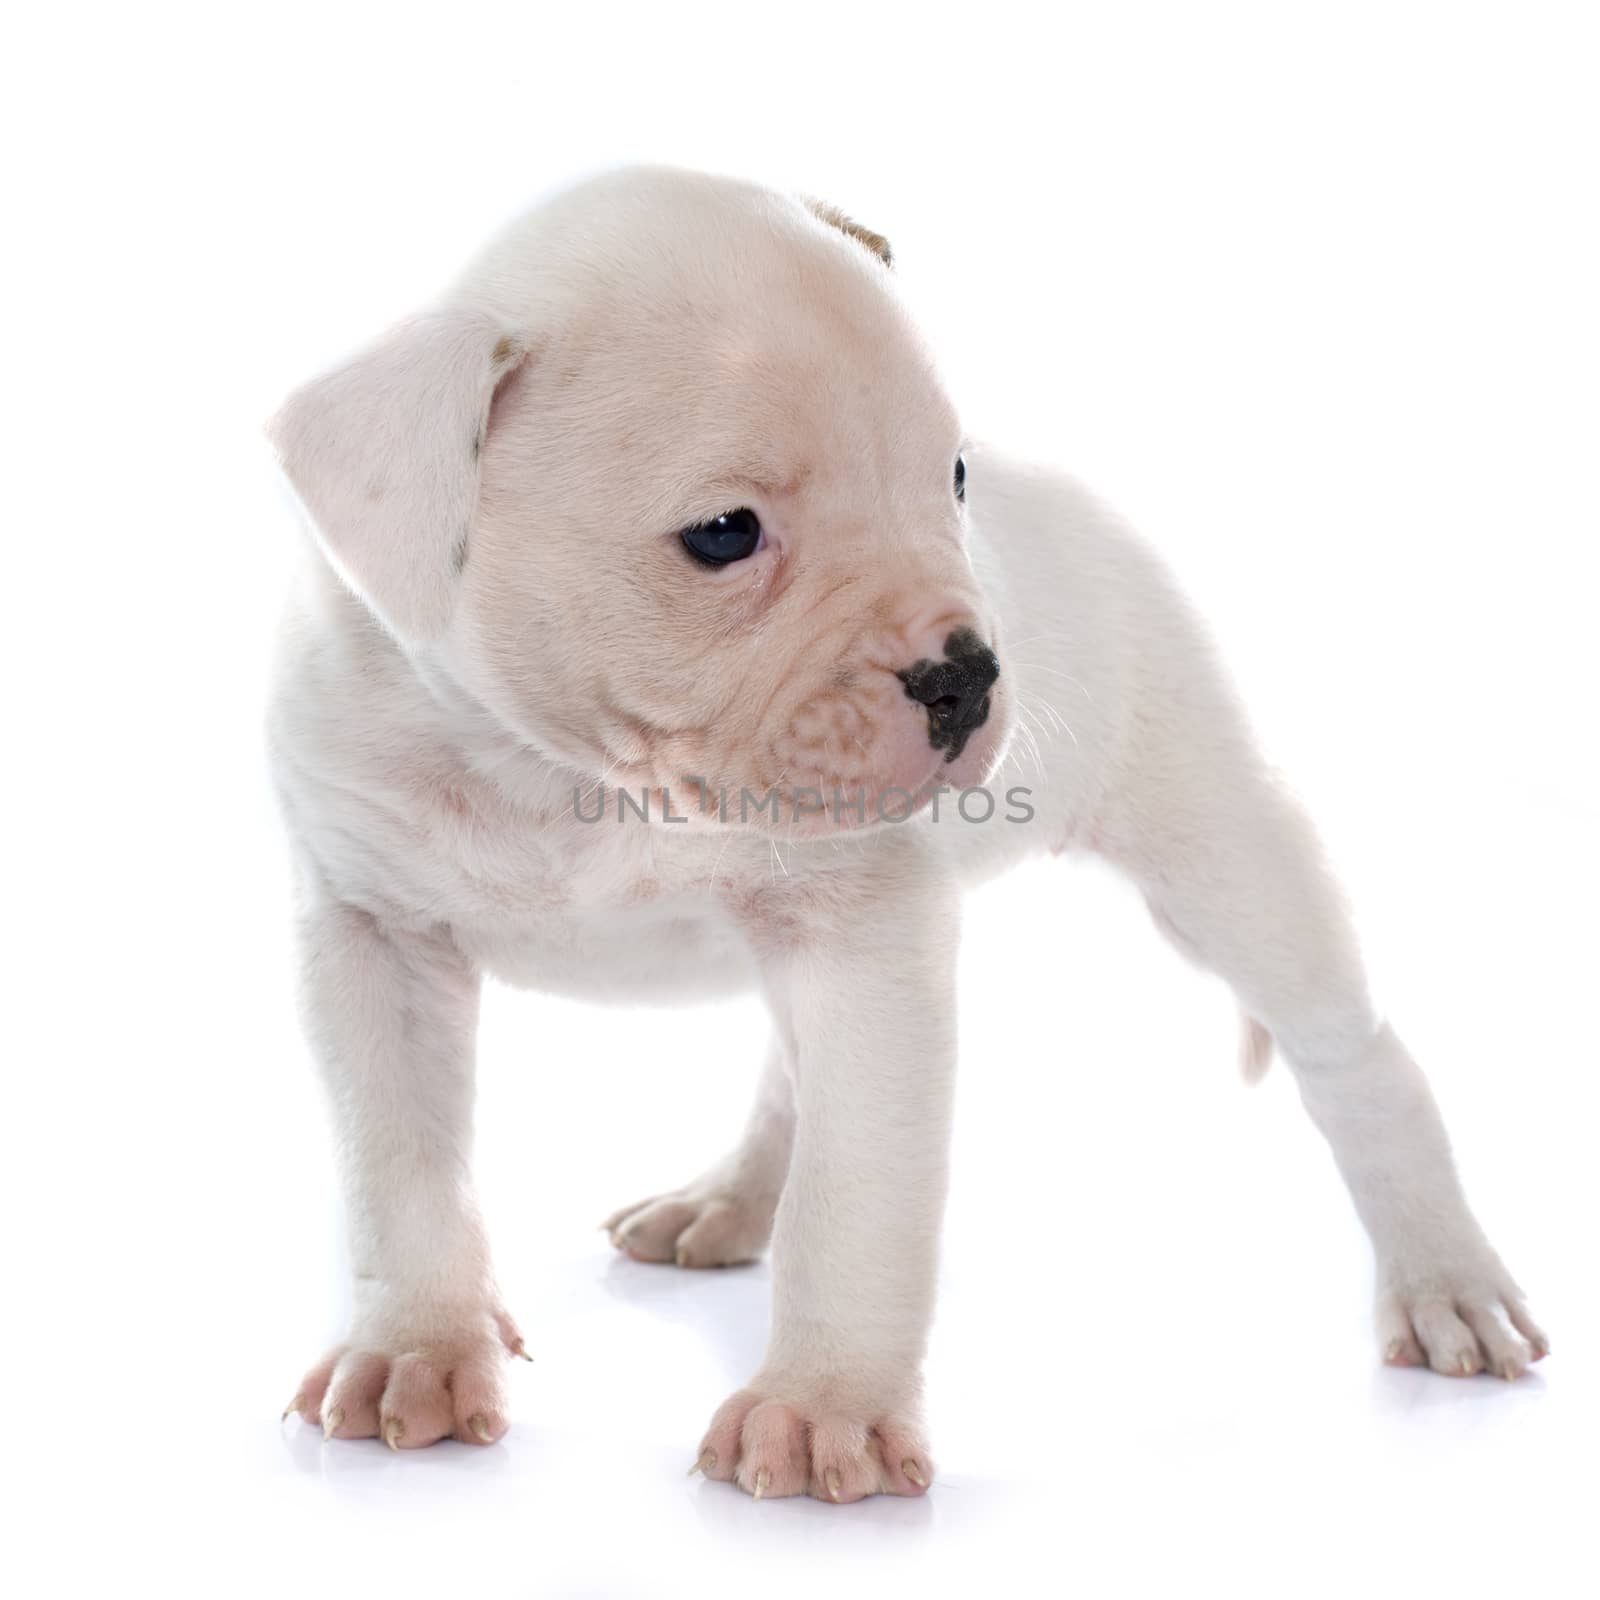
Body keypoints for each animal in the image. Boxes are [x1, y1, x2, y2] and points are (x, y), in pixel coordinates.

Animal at [268, 162, 1542, 1497]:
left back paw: (1446, 1278)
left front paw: (823, 1407)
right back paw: (729, 1200)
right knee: (787, 1078)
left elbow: (858, 1191)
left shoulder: (866, 947)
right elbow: (400, 1172)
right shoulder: (374, 939)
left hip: (1225, 850)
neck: (571, 777)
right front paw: (413, 1349)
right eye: (723, 534)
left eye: (955, 480)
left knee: (1356, 1061)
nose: (967, 676)